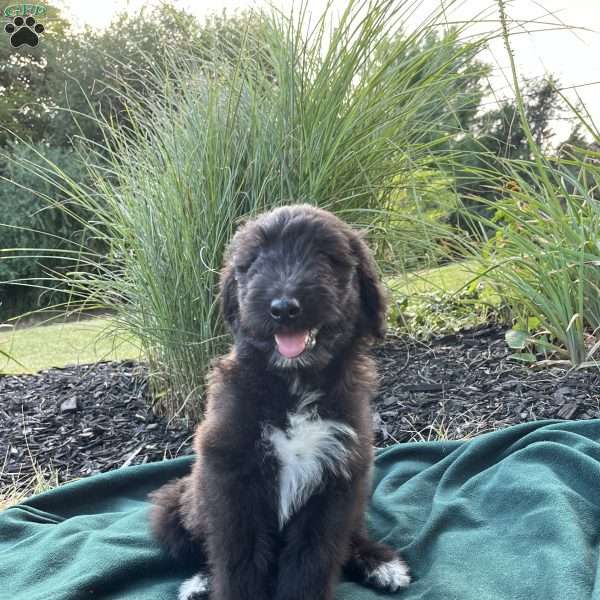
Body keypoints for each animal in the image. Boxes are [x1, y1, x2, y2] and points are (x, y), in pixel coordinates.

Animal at [152, 206, 410, 600]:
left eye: (325, 256)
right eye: (255, 260)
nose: (284, 308)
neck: (293, 388)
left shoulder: (334, 481)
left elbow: (312, 559)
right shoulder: (231, 480)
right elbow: (238, 560)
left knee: (351, 536)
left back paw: (379, 562)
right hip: (175, 507)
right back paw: (200, 582)